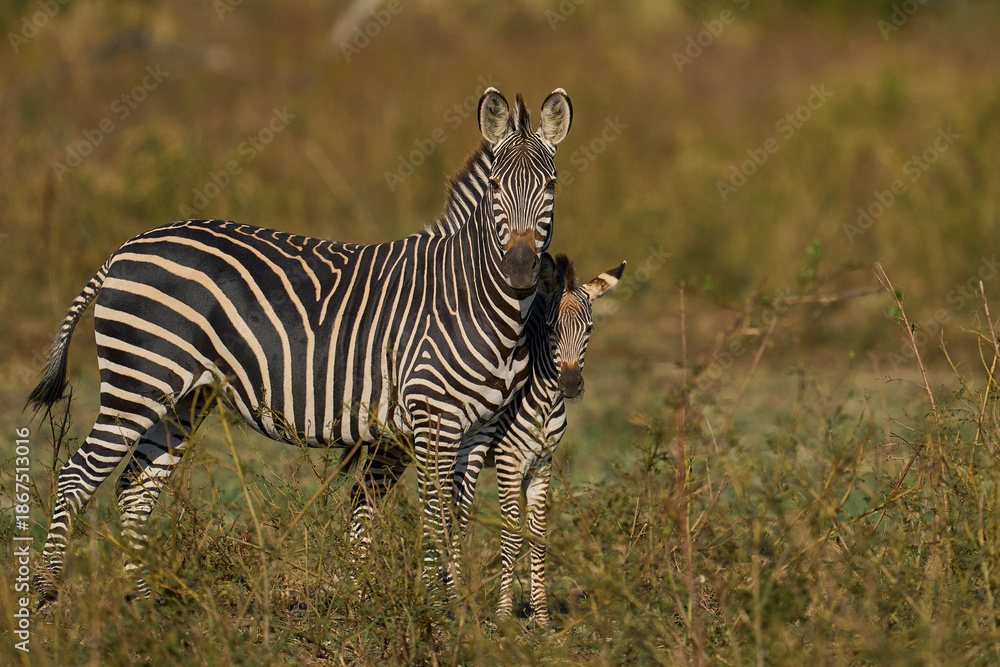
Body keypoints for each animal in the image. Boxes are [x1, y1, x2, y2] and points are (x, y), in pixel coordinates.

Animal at [26, 86, 573, 602]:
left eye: (551, 185)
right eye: (497, 186)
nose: (520, 270)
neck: (478, 301)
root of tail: (125, 248)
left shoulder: (477, 430)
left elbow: (456, 520)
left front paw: (459, 614)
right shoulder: (432, 420)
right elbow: (438, 521)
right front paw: (444, 613)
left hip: (184, 398)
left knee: (133, 490)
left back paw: (144, 607)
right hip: (139, 381)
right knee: (76, 477)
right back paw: (50, 599)